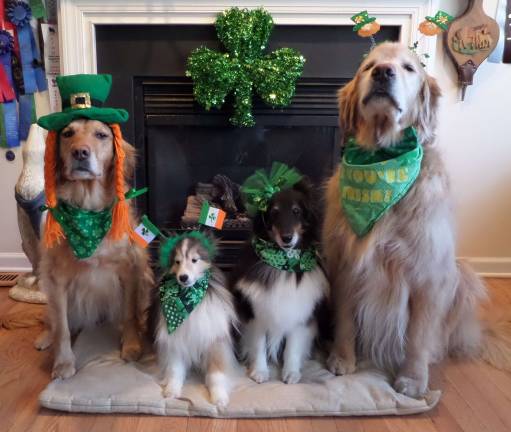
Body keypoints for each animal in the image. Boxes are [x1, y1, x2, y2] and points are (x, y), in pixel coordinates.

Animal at [155, 233, 237, 404]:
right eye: (177, 261)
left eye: (194, 260)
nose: (183, 277)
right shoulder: (175, 342)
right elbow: (175, 370)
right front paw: (172, 390)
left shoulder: (215, 341)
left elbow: (216, 374)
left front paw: (219, 397)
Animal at [231, 177, 328, 384]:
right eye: (274, 212)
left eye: (296, 211)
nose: (287, 238)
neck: (283, 264)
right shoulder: (255, 313)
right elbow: (258, 345)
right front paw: (259, 372)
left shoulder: (299, 315)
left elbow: (292, 347)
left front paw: (291, 373)